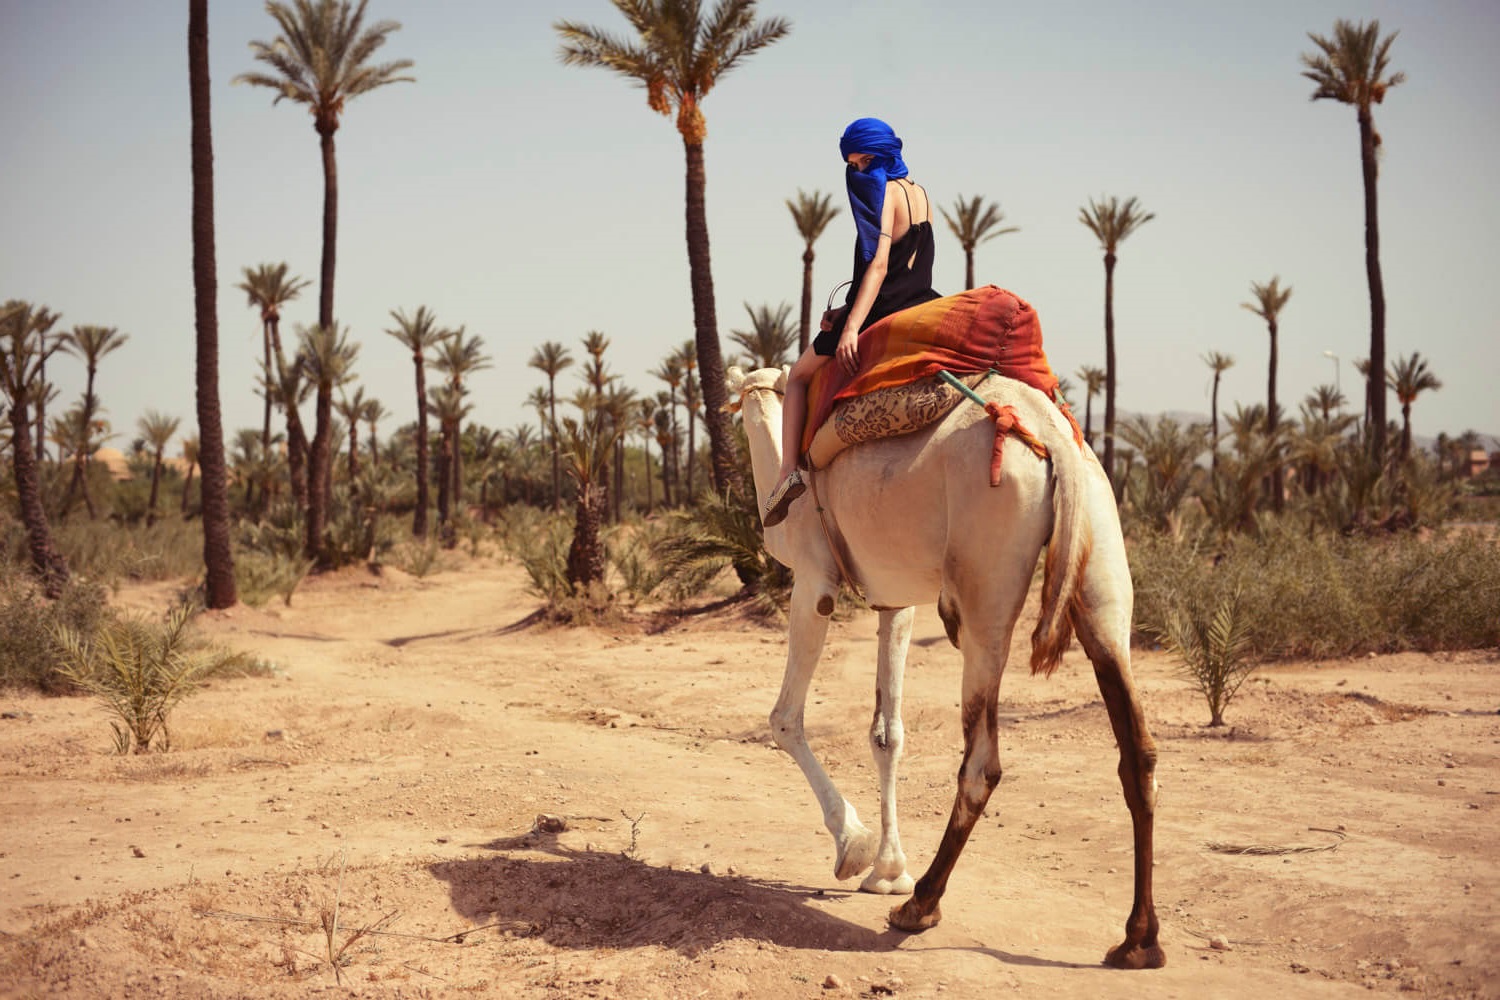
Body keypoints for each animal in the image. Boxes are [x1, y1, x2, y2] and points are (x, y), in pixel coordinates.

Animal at [732, 365, 1164, 971]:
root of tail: (1054, 439)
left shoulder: (815, 584)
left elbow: (785, 719)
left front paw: (855, 849)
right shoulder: (893, 598)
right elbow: (886, 733)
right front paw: (887, 869)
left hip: (984, 587)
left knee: (981, 763)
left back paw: (921, 907)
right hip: (1101, 565)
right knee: (1137, 751)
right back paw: (1138, 941)